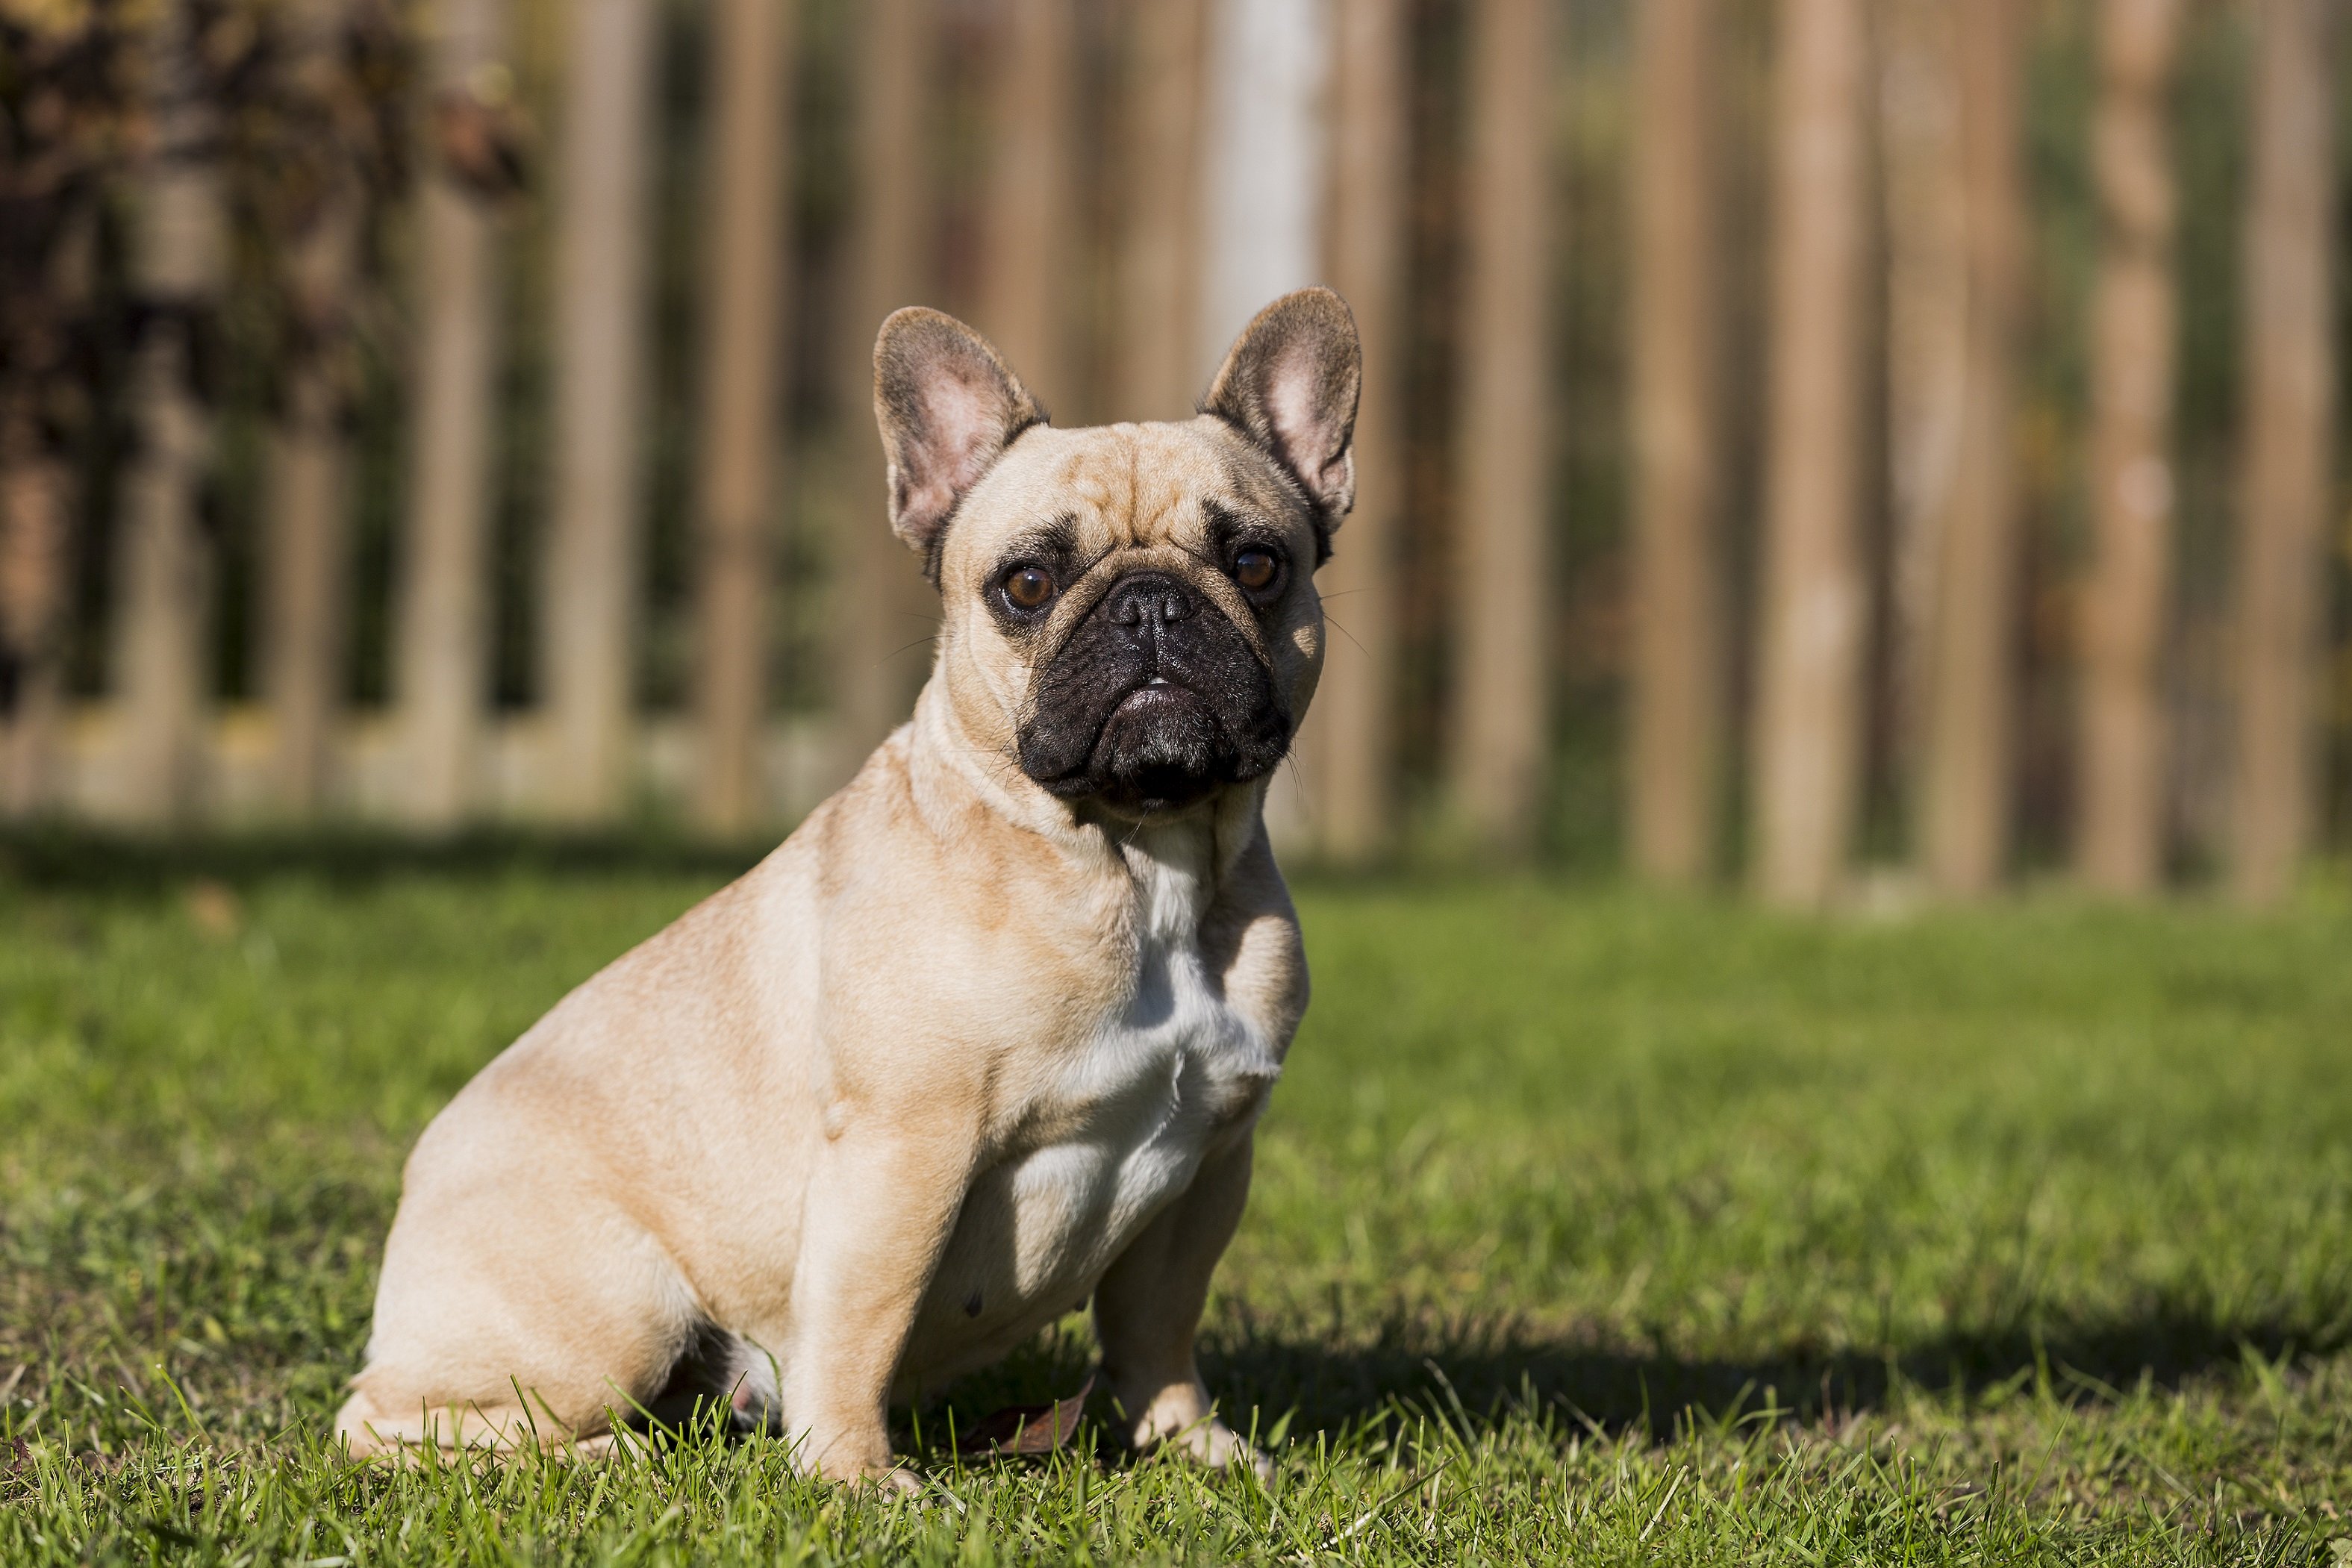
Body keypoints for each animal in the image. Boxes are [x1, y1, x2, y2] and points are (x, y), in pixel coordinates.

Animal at [334, 285, 1364, 1495]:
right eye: (1026, 584)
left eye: (1255, 563)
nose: (1150, 606)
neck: (1131, 861)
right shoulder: (905, 1149)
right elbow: (866, 1321)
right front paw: (854, 1478)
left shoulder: (1208, 1161)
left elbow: (1158, 1325)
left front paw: (1189, 1445)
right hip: (611, 1313)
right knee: (390, 1423)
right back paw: (609, 1458)